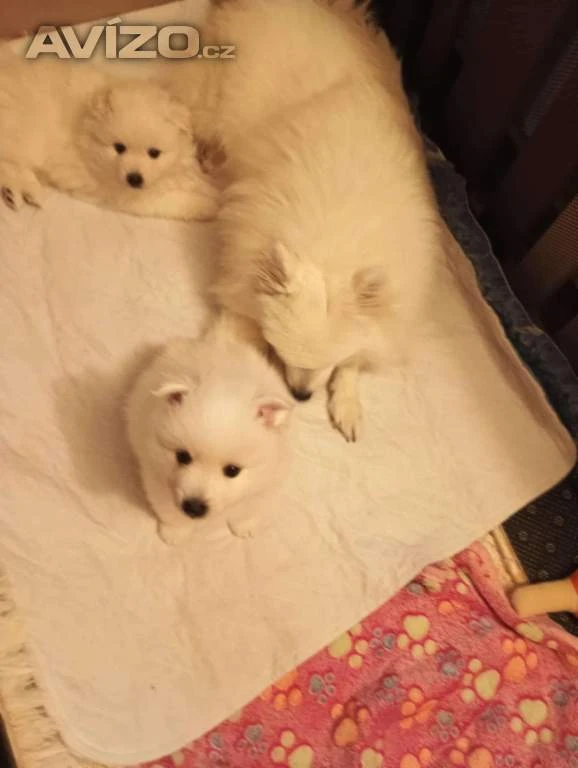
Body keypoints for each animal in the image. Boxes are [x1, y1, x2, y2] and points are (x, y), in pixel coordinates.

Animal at [0, 58, 218, 221]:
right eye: (119, 148)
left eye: (154, 153)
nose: (134, 179)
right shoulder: (126, 195)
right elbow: (173, 200)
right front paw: (210, 205)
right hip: (21, 138)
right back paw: (21, 192)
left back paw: (21, 193)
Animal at [126, 315, 293, 544]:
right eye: (182, 456)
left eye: (232, 470)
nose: (194, 507)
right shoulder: (154, 473)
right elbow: (168, 509)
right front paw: (175, 532)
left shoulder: (267, 479)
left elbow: (248, 506)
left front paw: (245, 526)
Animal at [194, 0, 444, 442]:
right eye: (280, 351)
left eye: (325, 363)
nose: (301, 395)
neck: (333, 252)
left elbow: (357, 358)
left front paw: (347, 402)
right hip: (219, 93)